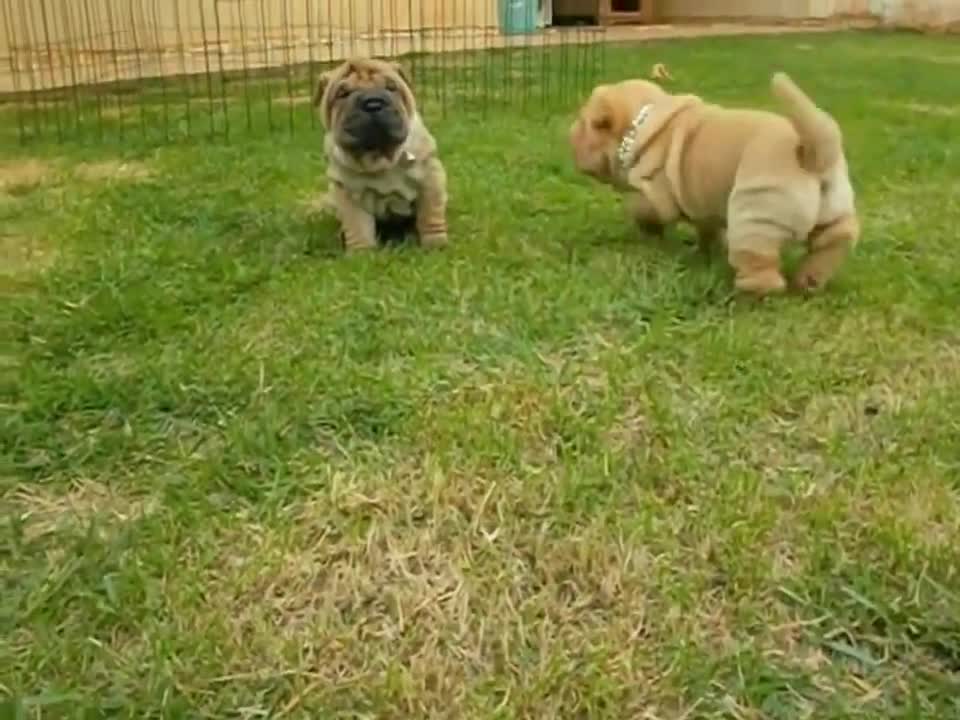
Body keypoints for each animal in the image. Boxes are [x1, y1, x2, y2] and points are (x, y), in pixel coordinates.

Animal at [316, 57, 450, 252]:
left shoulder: (430, 178)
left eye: (391, 87)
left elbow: (430, 214)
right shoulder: (347, 193)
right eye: (343, 94)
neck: (379, 157)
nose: (373, 103)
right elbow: (357, 225)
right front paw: (361, 251)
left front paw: (435, 243)